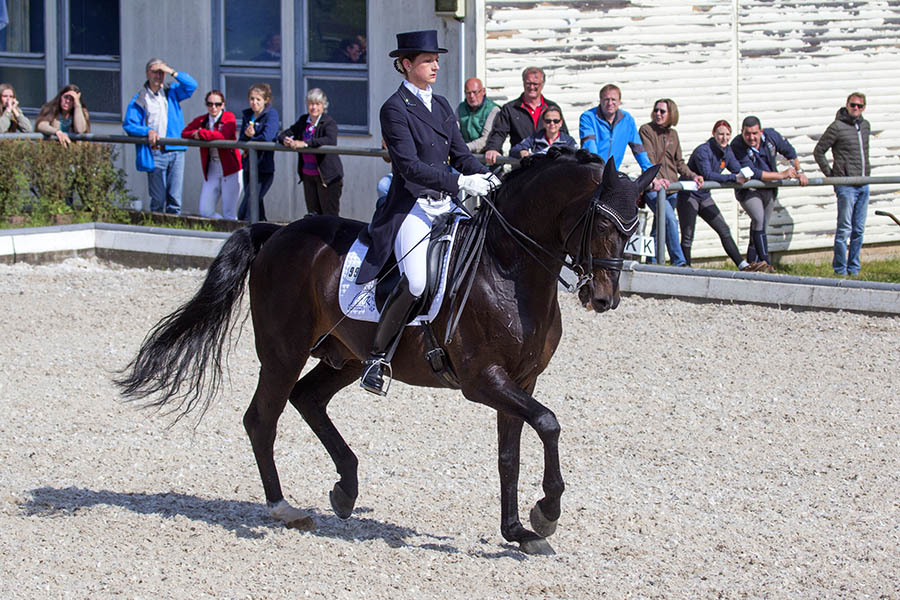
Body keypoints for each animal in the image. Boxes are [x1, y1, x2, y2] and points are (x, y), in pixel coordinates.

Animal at [116, 148, 656, 556]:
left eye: (633, 228)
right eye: (601, 224)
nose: (603, 298)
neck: (508, 266)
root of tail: (278, 232)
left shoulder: (520, 382)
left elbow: (510, 454)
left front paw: (518, 532)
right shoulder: (484, 380)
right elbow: (548, 423)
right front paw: (546, 514)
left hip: (345, 356)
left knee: (308, 399)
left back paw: (345, 489)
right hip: (283, 353)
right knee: (262, 418)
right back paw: (284, 508)